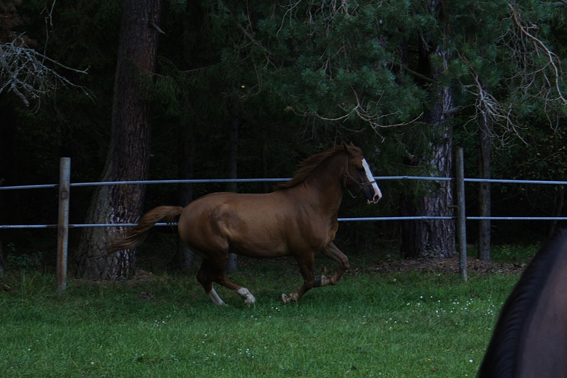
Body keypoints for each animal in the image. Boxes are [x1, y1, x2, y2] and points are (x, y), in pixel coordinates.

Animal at [107, 143, 382, 306]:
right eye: (359, 168)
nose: (377, 195)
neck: (312, 202)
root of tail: (184, 211)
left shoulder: (324, 245)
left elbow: (344, 263)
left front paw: (326, 279)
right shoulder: (303, 252)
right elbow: (308, 280)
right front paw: (288, 296)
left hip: (211, 253)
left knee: (204, 277)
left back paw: (222, 304)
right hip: (218, 251)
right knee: (214, 275)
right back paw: (247, 296)